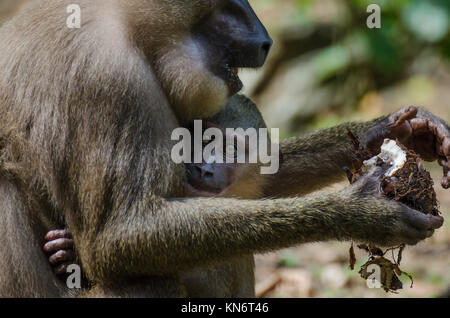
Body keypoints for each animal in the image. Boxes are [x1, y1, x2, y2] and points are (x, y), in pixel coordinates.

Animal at [0, 0, 444, 298]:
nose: (265, 40)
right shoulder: (107, 77)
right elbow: (114, 241)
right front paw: (365, 213)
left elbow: (264, 177)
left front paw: (399, 130)